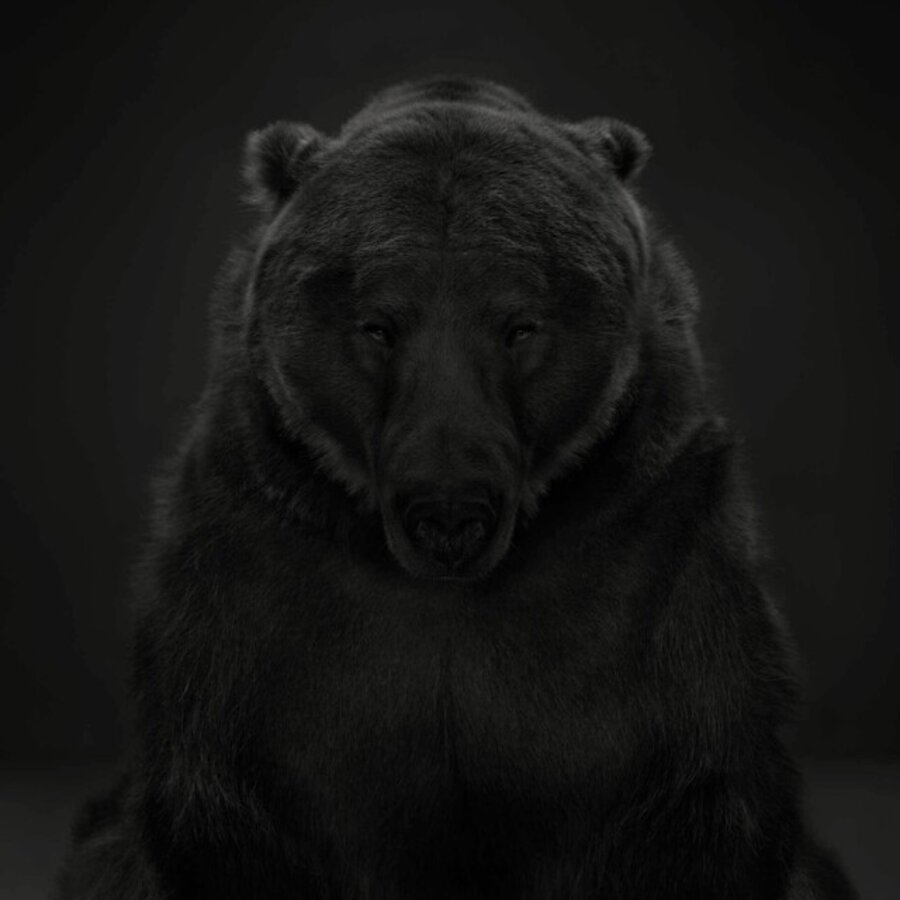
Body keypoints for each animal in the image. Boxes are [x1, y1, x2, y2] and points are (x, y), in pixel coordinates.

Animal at [55, 76, 858, 899]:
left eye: (521, 324)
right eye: (378, 324)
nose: (448, 514)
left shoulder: (647, 565)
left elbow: (691, 800)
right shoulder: (261, 588)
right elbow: (235, 811)